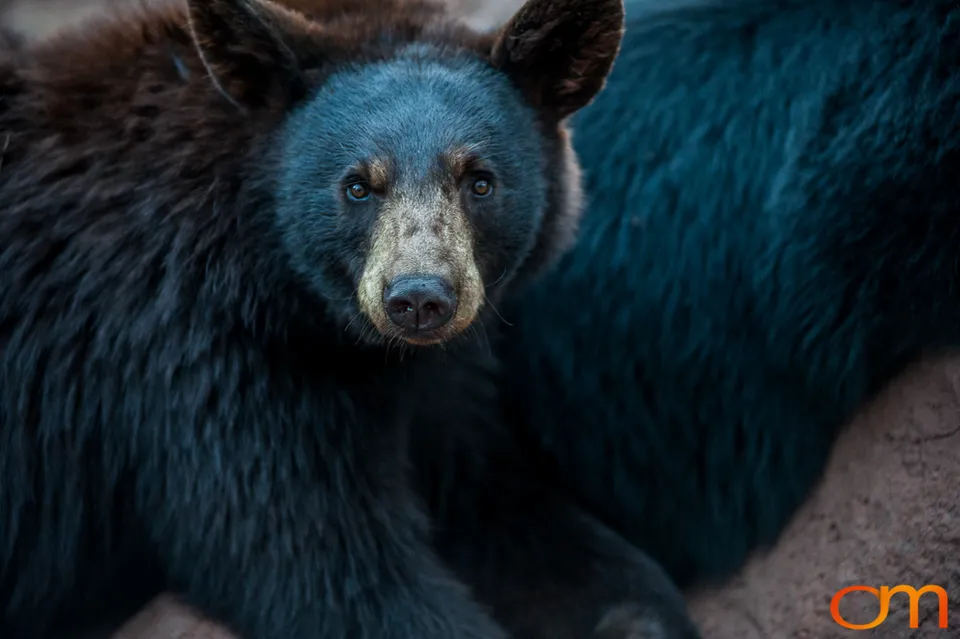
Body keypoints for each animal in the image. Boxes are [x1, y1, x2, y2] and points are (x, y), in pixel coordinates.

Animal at [0, 0, 701, 638]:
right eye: (358, 185)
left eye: (479, 180)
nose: (418, 297)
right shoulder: (200, 359)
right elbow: (325, 566)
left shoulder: (441, 377)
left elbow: (503, 507)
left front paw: (636, 616)